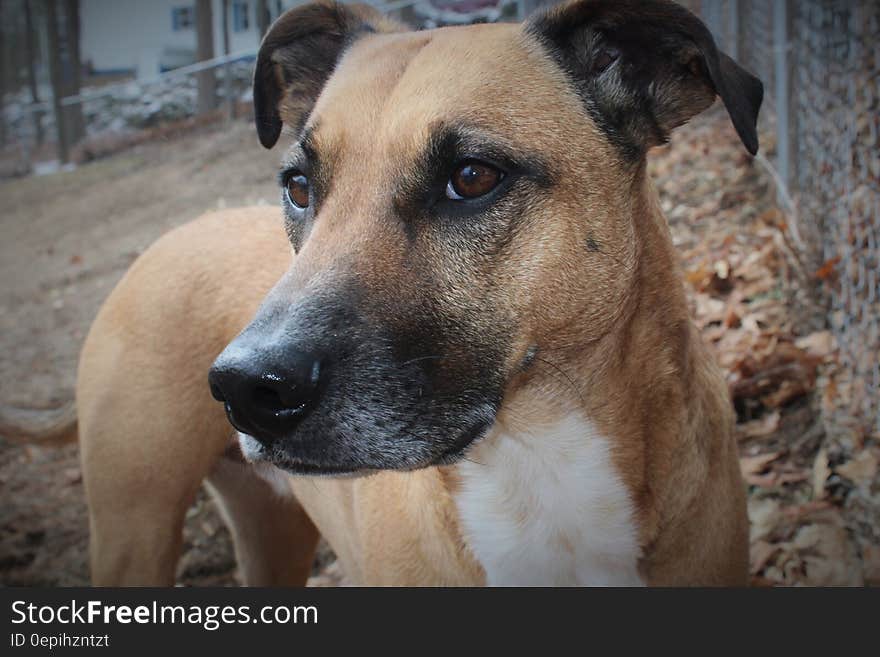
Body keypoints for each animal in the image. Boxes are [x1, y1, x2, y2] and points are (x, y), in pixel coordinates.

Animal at [8, 0, 764, 584]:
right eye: (299, 185)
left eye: (472, 176)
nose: (245, 387)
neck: (537, 465)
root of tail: (163, 240)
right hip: (132, 528)